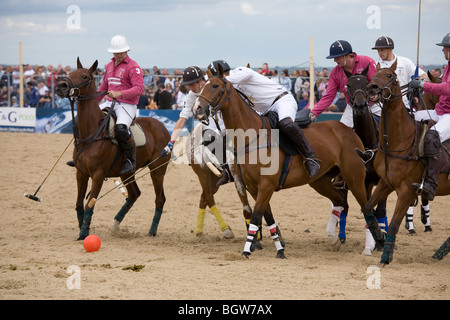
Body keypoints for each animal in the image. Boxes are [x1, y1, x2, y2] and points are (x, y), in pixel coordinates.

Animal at [56, 58, 169, 240]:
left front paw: (84, 234)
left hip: (157, 169)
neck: (92, 131)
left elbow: (89, 204)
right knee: (134, 194)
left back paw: (152, 231)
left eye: (84, 76)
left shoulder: (98, 175)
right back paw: (115, 224)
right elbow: (79, 204)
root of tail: (162, 126)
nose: (61, 86)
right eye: (70, 73)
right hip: (127, 172)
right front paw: (82, 231)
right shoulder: (81, 173)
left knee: (160, 199)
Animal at [192, 67, 368, 258]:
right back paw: (334, 239)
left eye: (215, 86)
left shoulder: (266, 185)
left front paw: (248, 249)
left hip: (355, 178)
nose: (197, 108)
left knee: (365, 206)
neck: (252, 136)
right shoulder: (253, 187)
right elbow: (265, 215)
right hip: (320, 181)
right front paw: (279, 248)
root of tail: (349, 130)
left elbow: (256, 215)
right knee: (340, 200)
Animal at [366, 60, 450, 264]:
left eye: (390, 75)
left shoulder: (406, 190)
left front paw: (386, 257)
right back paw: (439, 253)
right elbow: (368, 209)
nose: (372, 87)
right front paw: (379, 240)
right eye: (373, 75)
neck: (400, 140)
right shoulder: (386, 183)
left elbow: (394, 224)